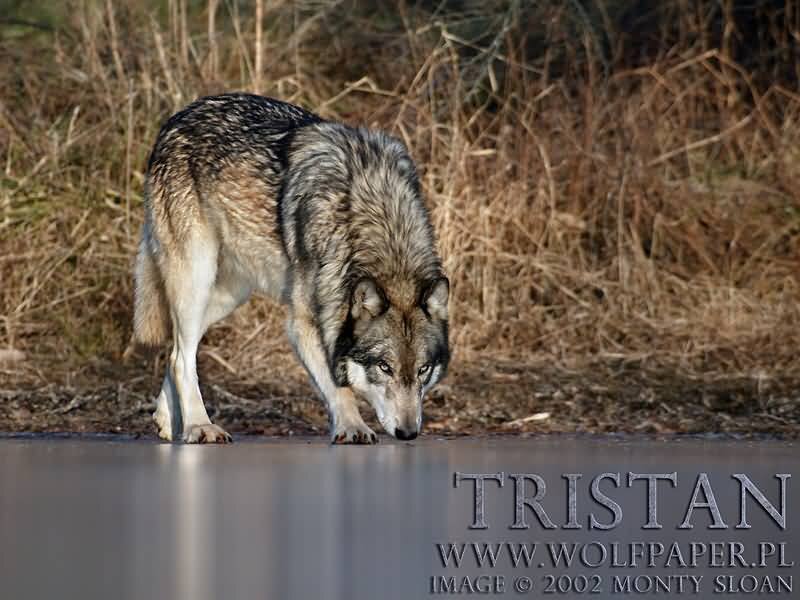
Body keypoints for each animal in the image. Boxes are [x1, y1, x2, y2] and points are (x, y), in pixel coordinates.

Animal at [133, 93, 450, 444]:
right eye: (384, 368)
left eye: (423, 371)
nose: (408, 433)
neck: (377, 219)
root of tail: (179, 115)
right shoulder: (304, 322)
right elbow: (339, 387)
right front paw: (354, 427)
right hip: (196, 278)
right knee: (181, 356)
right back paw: (199, 426)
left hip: (228, 295)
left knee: (178, 350)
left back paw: (167, 419)